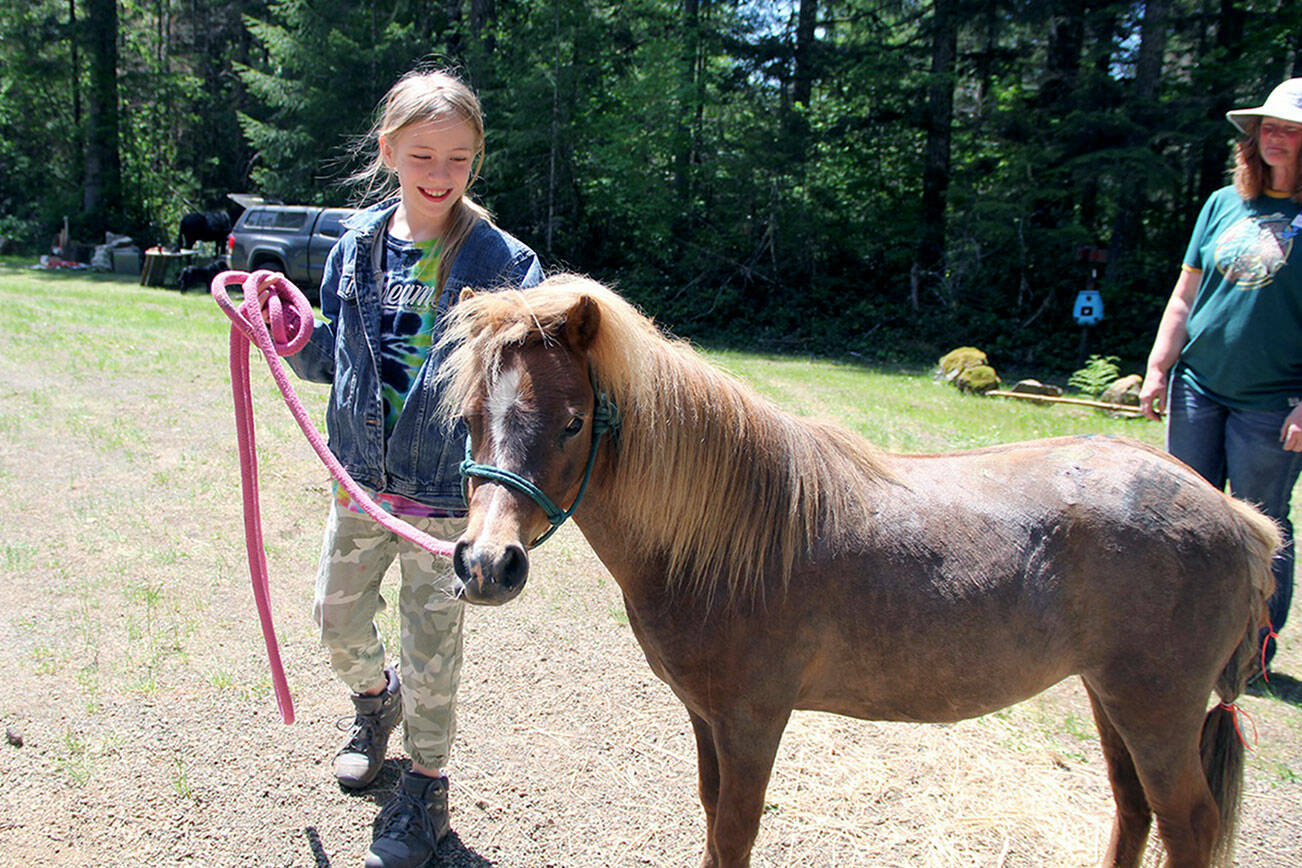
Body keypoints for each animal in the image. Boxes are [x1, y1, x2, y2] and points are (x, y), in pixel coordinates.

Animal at [435, 275, 1279, 868]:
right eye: (469, 418)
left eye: (574, 421)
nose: (487, 564)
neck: (730, 537)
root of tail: (1236, 517)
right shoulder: (708, 719)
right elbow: (712, 820)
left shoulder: (752, 722)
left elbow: (733, 836)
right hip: (1113, 699)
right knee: (1134, 810)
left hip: (1157, 710)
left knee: (1188, 824)